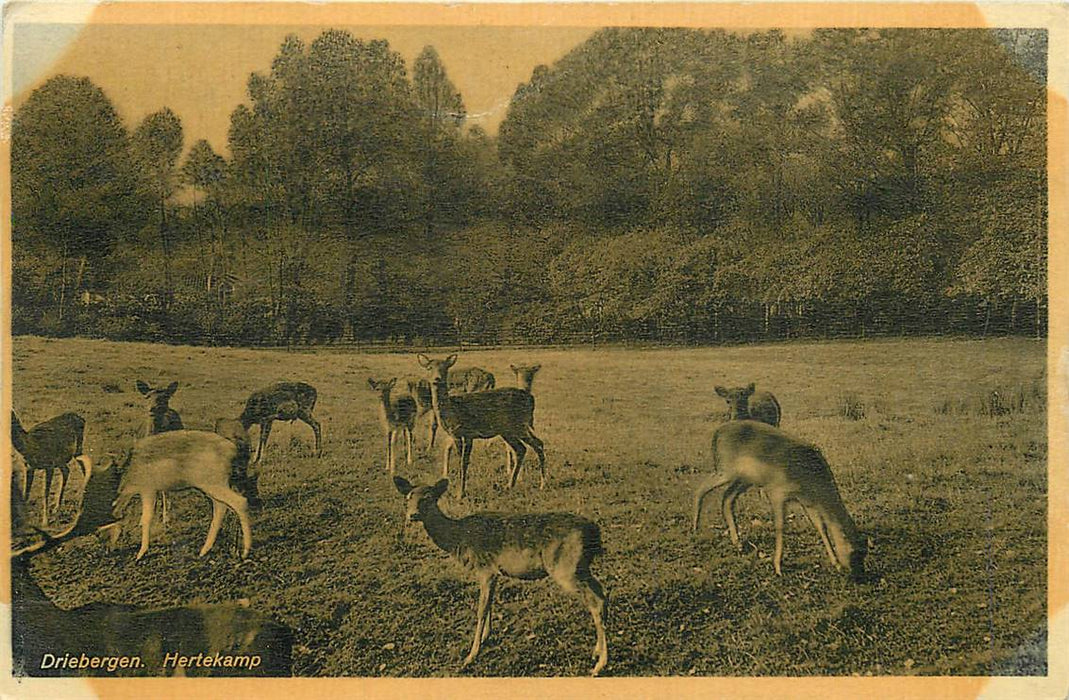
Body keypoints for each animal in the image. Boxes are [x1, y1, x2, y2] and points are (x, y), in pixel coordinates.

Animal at [110, 429, 256, 560]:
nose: (110, 549)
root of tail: (232, 449)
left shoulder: (148, 489)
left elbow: (146, 518)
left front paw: (140, 553)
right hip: (212, 486)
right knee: (221, 508)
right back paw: (204, 550)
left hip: (214, 484)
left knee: (240, 502)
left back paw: (245, 551)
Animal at [395, 478, 611, 675]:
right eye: (408, 497)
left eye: (429, 497)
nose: (412, 515)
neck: (460, 538)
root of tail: (594, 532)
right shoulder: (494, 572)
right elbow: (489, 604)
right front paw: (485, 638)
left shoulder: (486, 568)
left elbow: (481, 610)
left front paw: (471, 655)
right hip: (581, 568)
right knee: (602, 594)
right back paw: (596, 652)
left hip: (565, 568)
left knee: (595, 601)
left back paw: (600, 664)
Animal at [416, 356, 547, 498]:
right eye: (429, 368)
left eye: (445, 368)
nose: (437, 379)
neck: (453, 410)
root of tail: (531, 399)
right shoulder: (456, 434)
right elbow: (461, 460)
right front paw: (459, 491)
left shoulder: (467, 433)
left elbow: (463, 462)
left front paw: (460, 493)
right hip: (509, 430)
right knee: (526, 447)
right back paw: (513, 485)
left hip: (517, 426)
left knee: (533, 445)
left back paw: (538, 484)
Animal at [692, 421, 868, 581]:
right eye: (855, 552)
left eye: (865, 553)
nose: (859, 577)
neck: (810, 475)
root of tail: (718, 432)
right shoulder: (777, 494)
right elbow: (780, 527)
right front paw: (777, 567)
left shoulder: (807, 502)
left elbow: (821, 527)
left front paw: (836, 563)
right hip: (726, 472)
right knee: (701, 488)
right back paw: (695, 527)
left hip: (744, 480)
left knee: (727, 499)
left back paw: (738, 543)